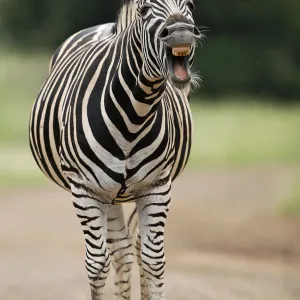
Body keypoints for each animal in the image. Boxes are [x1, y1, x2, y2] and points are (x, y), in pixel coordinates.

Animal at [29, 0, 202, 300]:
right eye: (144, 10)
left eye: (189, 4)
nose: (181, 31)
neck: (135, 114)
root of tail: (106, 27)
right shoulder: (86, 189)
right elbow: (97, 264)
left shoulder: (157, 185)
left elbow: (154, 260)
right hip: (105, 195)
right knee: (120, 250)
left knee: (136, 248)